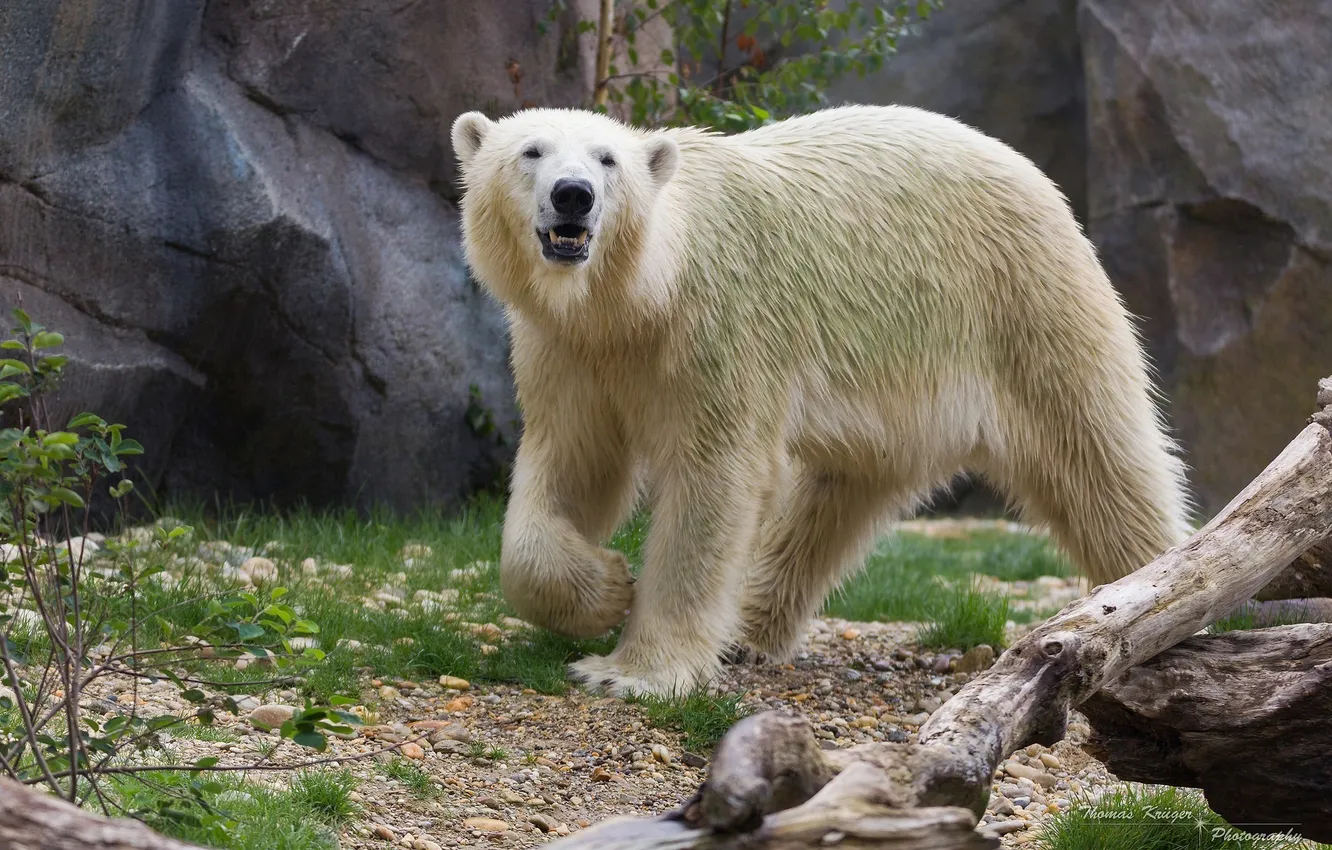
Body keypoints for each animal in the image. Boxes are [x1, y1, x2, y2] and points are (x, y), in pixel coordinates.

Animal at [452, 103, 1193, 698]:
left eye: (608, 160)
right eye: (531, 151)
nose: (573, 196)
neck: (639, 298)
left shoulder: (717, 327)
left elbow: (714, 476)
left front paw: (631, 672)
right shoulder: (569, 350)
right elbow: (572, 463)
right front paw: (605, 589)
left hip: (1023, 303)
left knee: (1097, 454)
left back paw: (1157, 600)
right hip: (905, 380)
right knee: (839, 492)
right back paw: (748, 628)